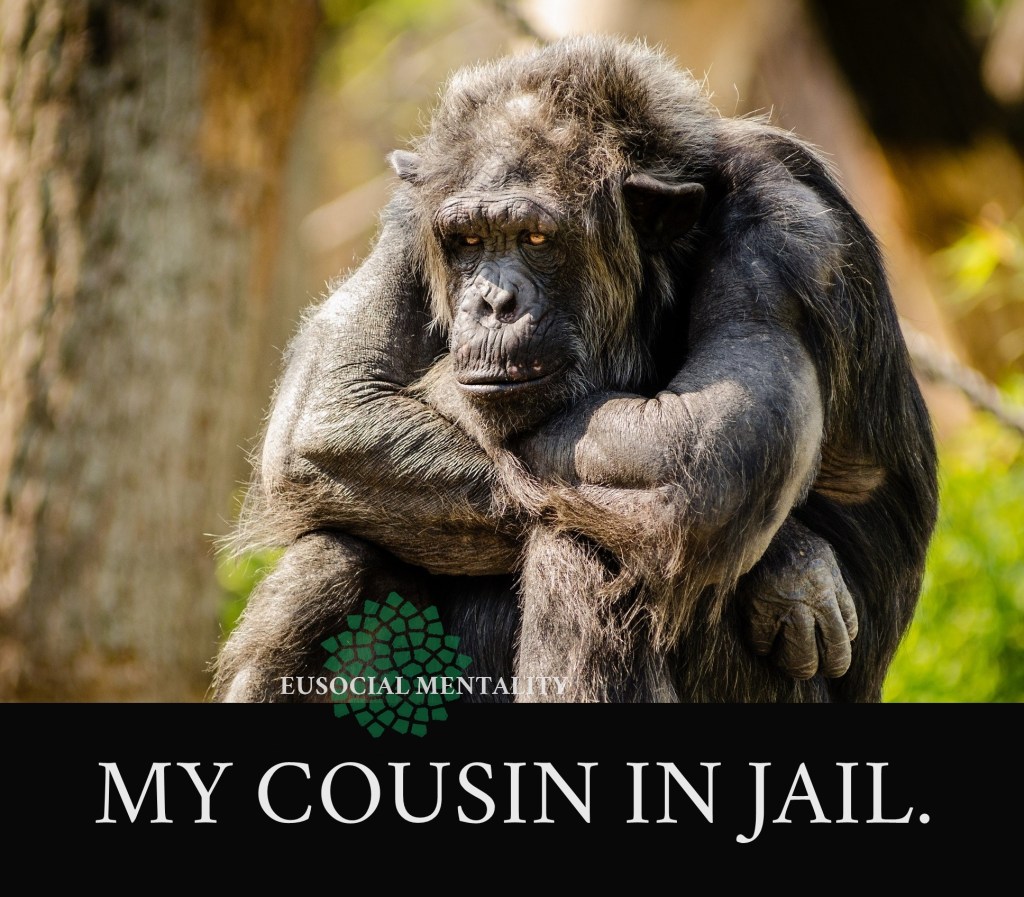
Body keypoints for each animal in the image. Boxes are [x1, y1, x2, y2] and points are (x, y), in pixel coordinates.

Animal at [213, 36, 936, 703]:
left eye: (536, 238)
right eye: (468, 241)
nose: (492, 302)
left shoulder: (784, 232)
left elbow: (708, 449)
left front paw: (788, 558)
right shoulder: (407, 216)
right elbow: (329, 408)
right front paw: (791, 561)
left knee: (597, 540)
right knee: (333, 556)